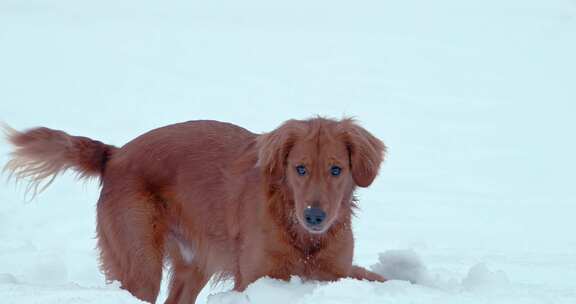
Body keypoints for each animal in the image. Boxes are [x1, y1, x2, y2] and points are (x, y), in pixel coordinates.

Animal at [4, 119, 388, 304]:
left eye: (336, 170)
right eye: (300, 169)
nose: (314, 216)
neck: (300, 234)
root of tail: (115, 155)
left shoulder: (333, 273)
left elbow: (368, 276)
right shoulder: (256, 279)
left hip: (193, 264)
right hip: (140, 266)